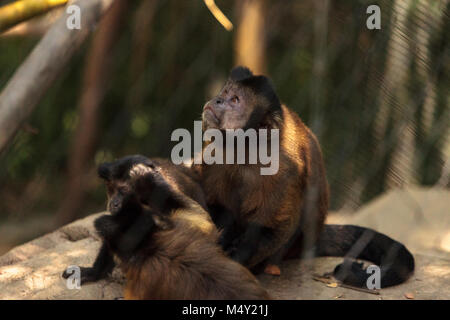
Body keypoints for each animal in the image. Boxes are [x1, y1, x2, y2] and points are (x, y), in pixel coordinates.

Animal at [194, 66, 414, 288]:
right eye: (224, 93)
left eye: (235, 100)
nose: (218, 100)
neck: (246, 149)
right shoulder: (216, 152)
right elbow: (216, 205)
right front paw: (222, 238)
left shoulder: (282, 169)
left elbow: (273, 228)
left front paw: (234, 258)